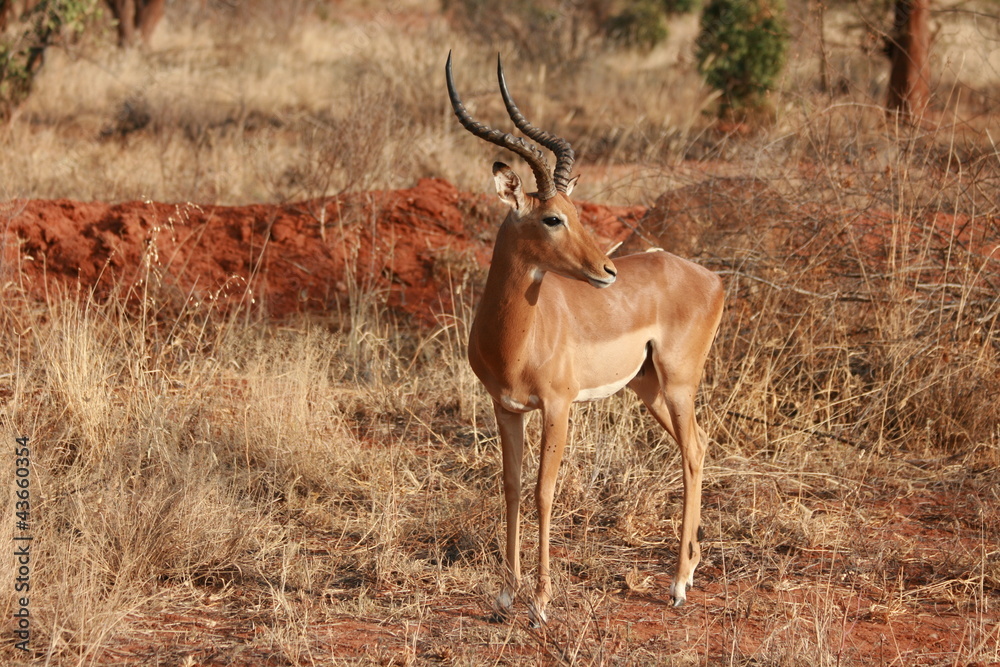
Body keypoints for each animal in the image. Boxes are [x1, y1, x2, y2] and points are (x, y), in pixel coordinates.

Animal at [446, 53, 724, 622]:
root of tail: (712, 278)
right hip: (648, 388)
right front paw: (505, 596)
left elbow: (543, 492)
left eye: (575, 212)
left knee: (691, 450)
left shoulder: (558, 406)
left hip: (678, 383)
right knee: (700, 445)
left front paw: (540, 602)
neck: (515, 341)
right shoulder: (505, 407)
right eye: (553, 217)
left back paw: (678, 585)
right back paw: (689, 568)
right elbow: (510, 487)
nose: (607, 270)